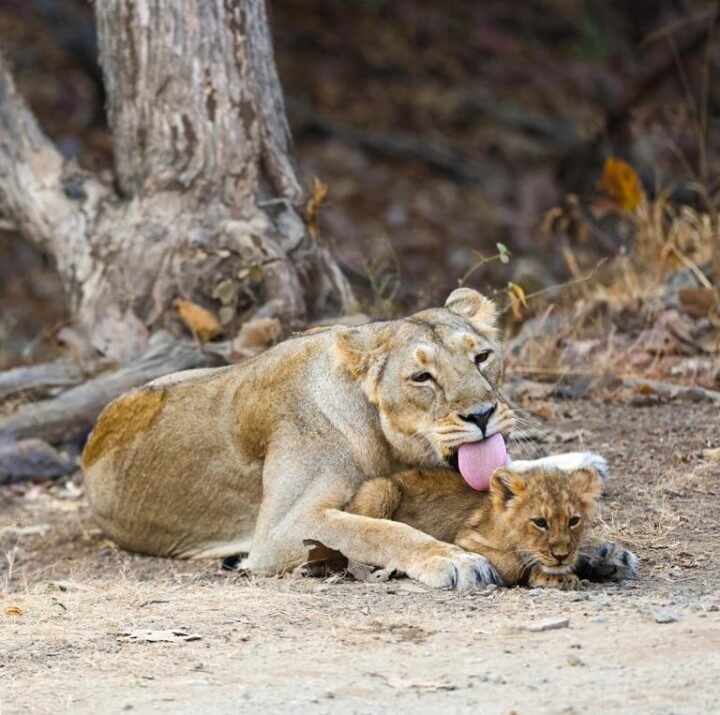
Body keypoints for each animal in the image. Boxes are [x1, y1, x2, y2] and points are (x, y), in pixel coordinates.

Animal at [347, 463, 638, 589]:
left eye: (573, 520)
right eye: (540, 522)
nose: (561, 555)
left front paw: (601, 557)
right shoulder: (465, 539)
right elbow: (512, 563)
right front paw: (550, 575)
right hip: (381, 490)